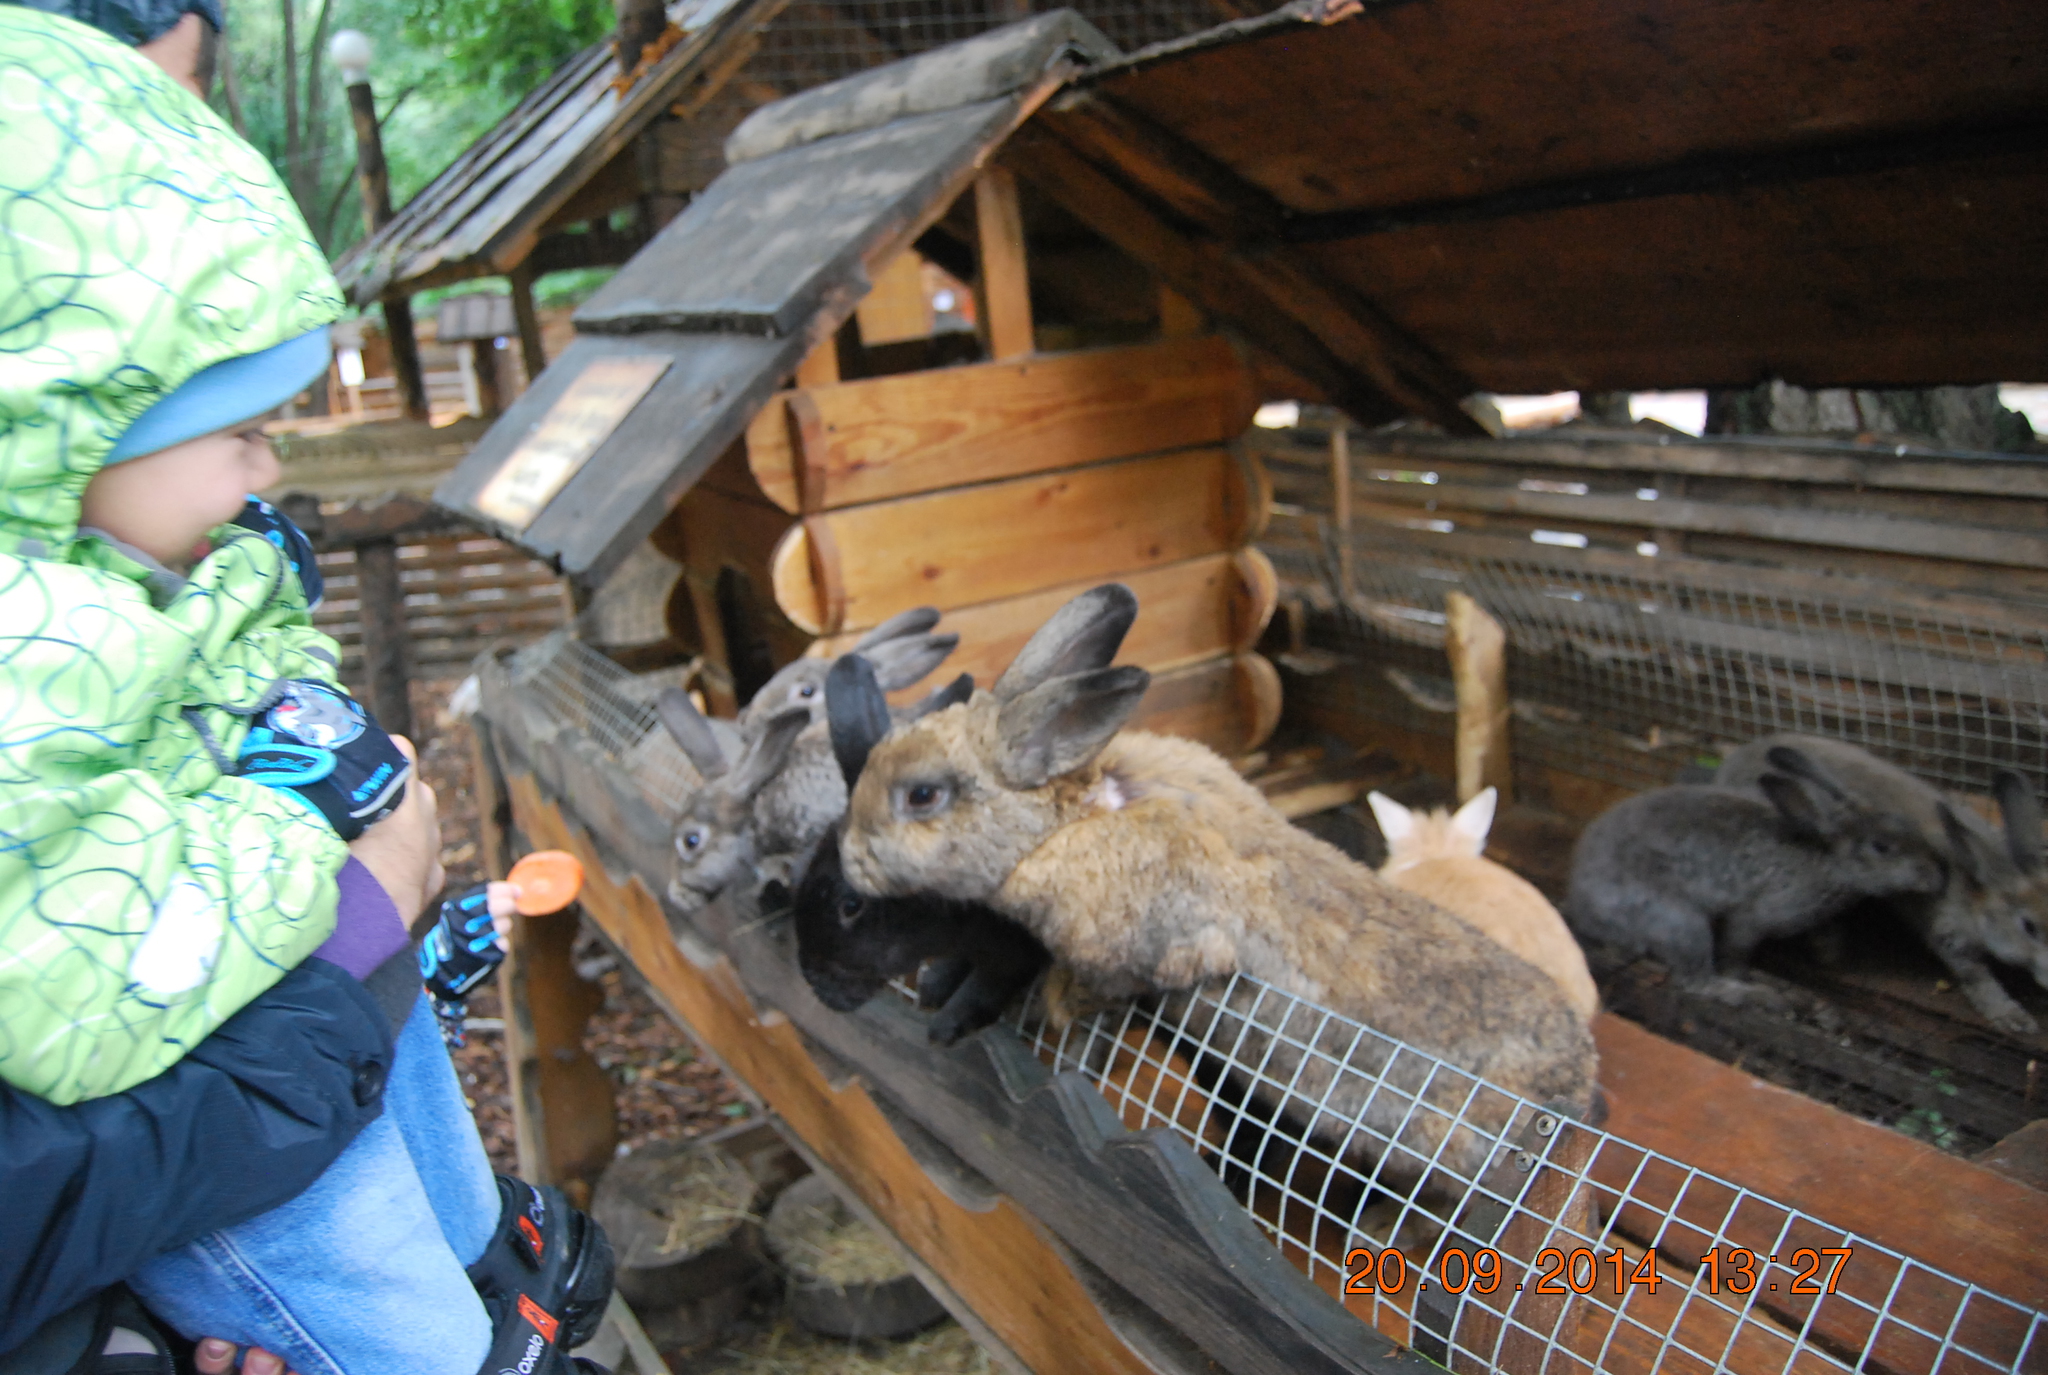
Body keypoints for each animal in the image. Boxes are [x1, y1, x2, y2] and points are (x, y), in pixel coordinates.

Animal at [1556, 745, 1941, 995]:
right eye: (1882, 846)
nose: (1935, 875)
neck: (1824, 858)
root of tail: (1584, 907)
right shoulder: (1755, 917)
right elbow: (1737, 951)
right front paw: (1746, 978)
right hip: (1682, 924)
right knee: (1696, 982)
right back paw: (1754, 993)